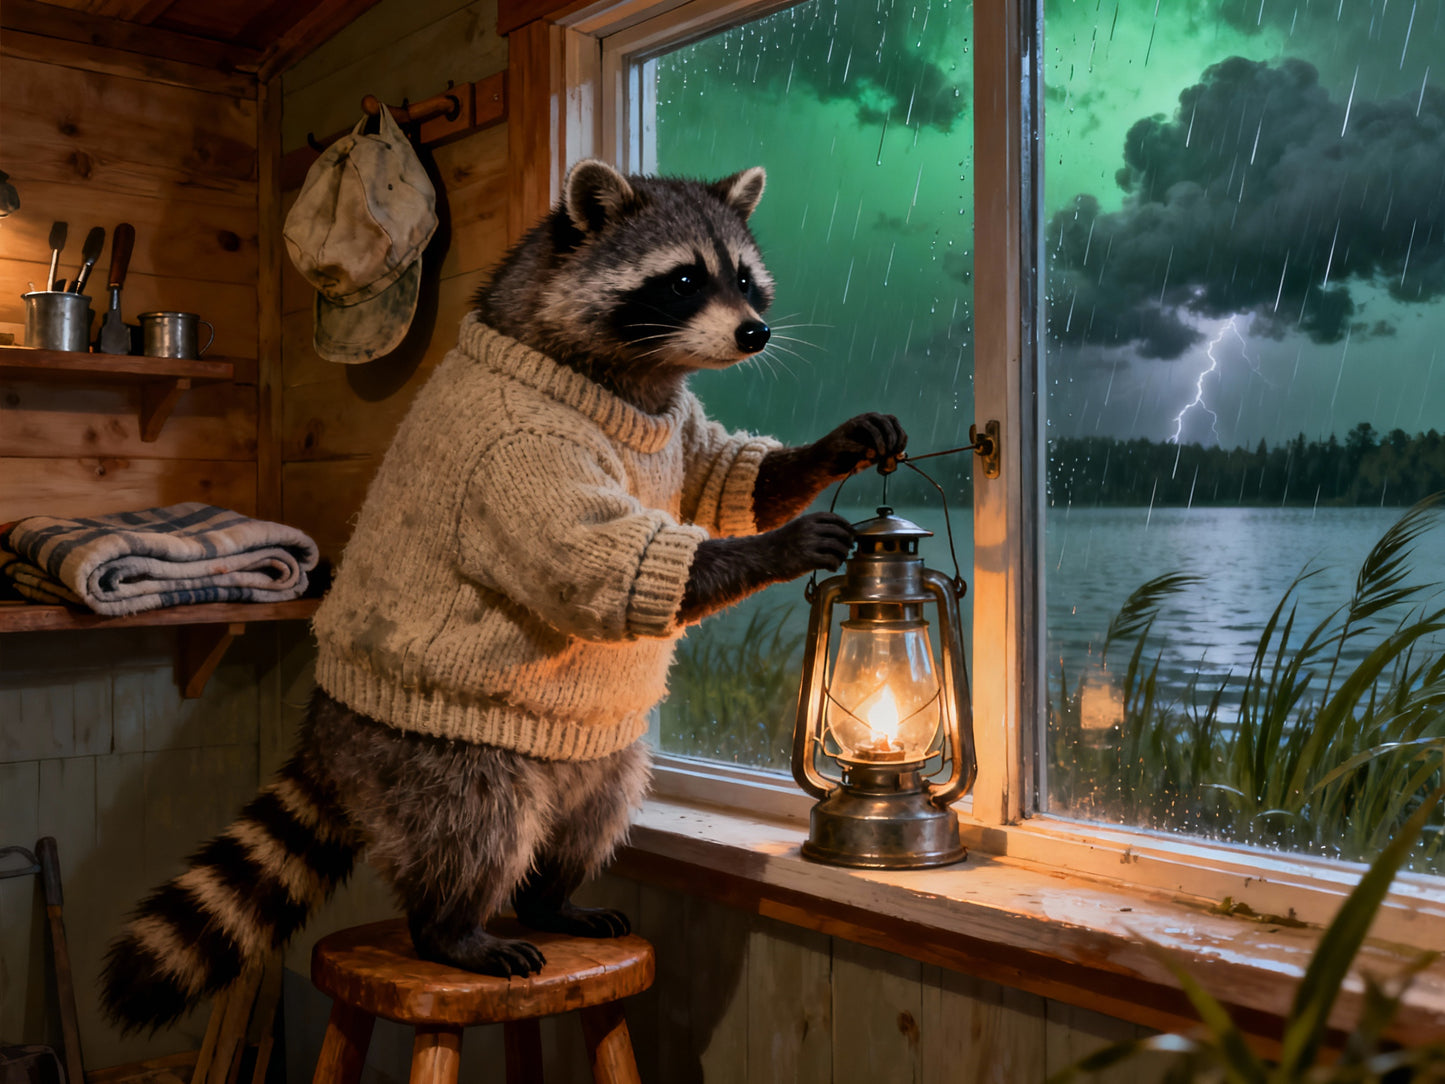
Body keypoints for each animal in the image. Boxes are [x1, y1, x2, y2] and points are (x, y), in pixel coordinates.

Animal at [100, 159, 906, 1031]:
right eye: (685, 280)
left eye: (746, 280)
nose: (753, 332)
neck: (624, 377)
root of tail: (327, 738)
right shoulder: (519, 456)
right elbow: (598, 567)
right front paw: (774, 548)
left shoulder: (680, 429)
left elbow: (732, 479)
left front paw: (834, 447)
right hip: (426, 752)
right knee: (474, 825)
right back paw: (449, 927)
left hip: (593, 759)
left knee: (599, 807)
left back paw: (552, 895)